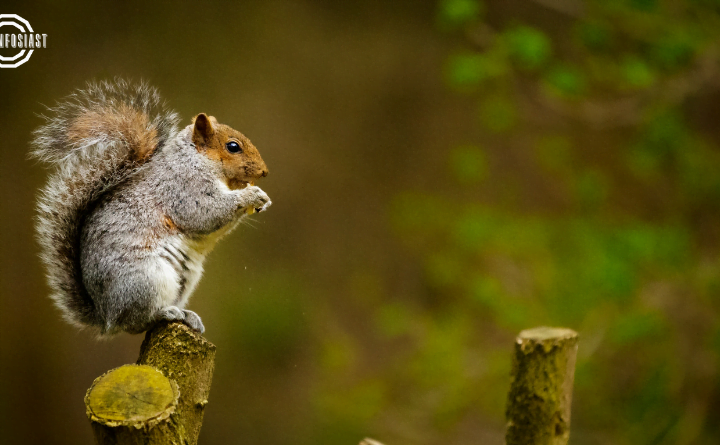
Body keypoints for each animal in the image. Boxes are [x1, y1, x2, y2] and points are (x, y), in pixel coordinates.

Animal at [28, 80, 272, 334]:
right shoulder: (183, 189)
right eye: (233, 146)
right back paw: (165, 313)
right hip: (147, 280)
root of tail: (106, 315)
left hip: (184, 280)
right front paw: (251, 195)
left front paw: (262, 199)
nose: (264, 171)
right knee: (136, 321)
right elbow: (206, 213)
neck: (196, 159)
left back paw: (188, 315)